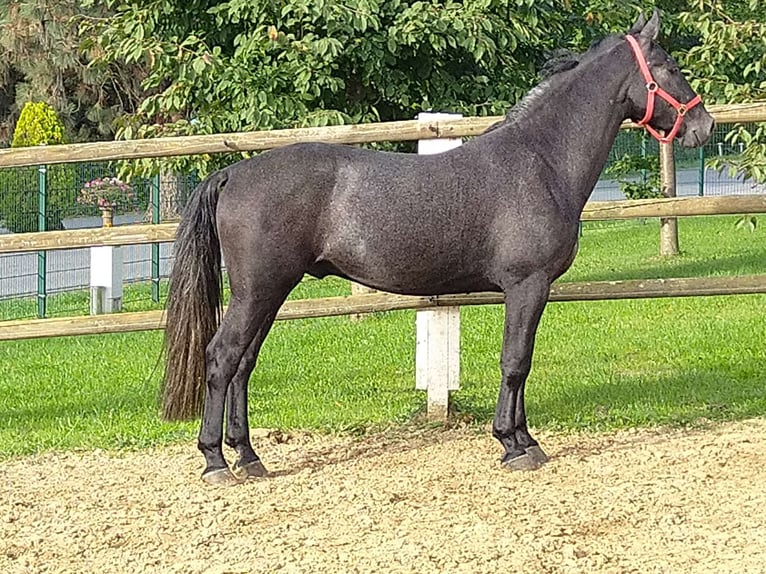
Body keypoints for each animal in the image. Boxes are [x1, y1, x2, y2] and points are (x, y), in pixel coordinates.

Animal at [164, 10, 720, 486]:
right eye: (671, 68)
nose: (704, 125)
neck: (541, 160)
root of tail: (234, 172)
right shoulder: (527, 285)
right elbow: (515, 361)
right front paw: (513, 446)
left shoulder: (529, 290)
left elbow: (521, 362)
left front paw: (525, 440)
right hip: (259, 289)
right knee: (222, 357)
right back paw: (215, 461)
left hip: (271, 291)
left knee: (244, 363)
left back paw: (248, 456)